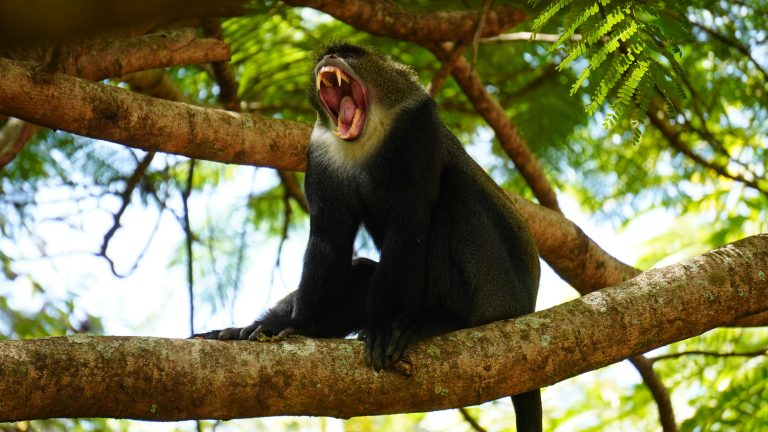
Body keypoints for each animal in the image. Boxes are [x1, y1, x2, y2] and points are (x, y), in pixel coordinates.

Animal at [194, 42, 541, 431]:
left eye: (352, 54)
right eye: (325, 56)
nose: (329, 61)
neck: (366, 140)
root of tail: (527, 304)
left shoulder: (417, 130)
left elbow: (409, 223)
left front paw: (385, 328)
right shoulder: (321, 156)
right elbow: (328, 240)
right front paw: (299, 326)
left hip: (498, 291)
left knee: (457, 191)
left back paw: (439, 319)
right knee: (361, 270)